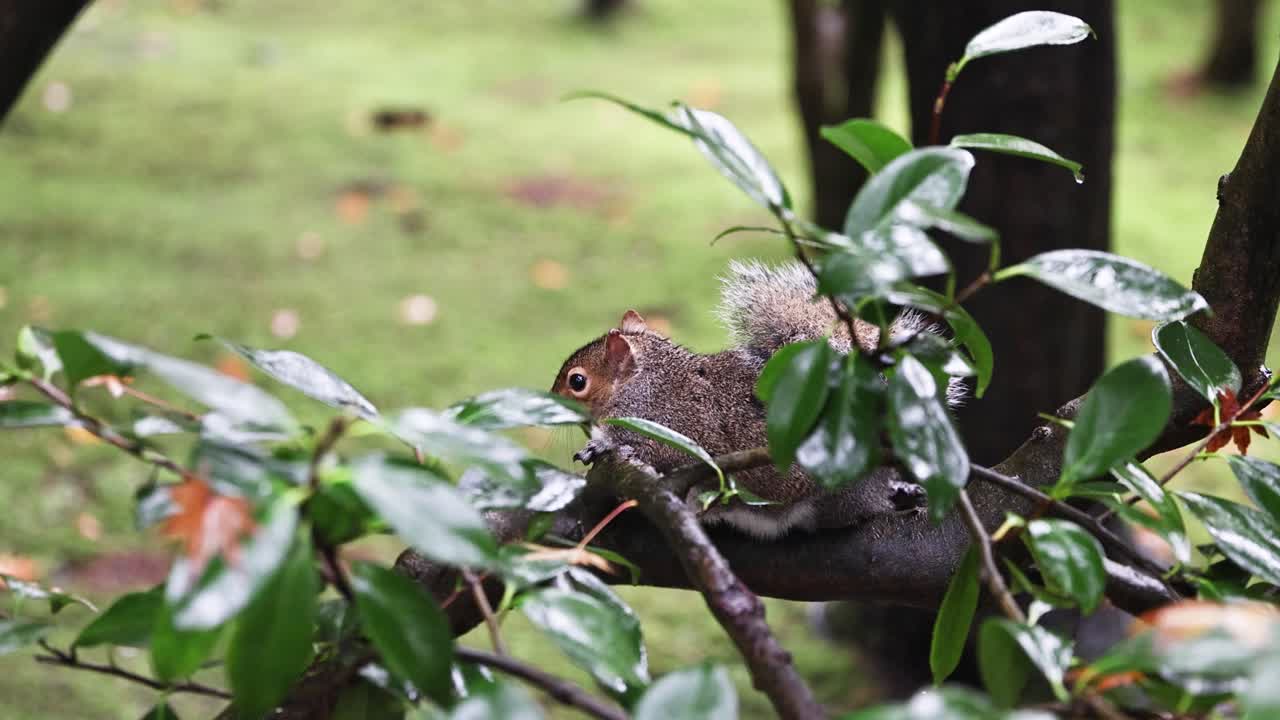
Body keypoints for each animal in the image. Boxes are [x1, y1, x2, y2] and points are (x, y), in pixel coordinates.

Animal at [550, 260, 963, 539]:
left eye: (577, 381)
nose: (549, 399)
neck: (644, 383)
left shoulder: (667, 424)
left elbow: (649, 451)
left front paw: (602, 446)